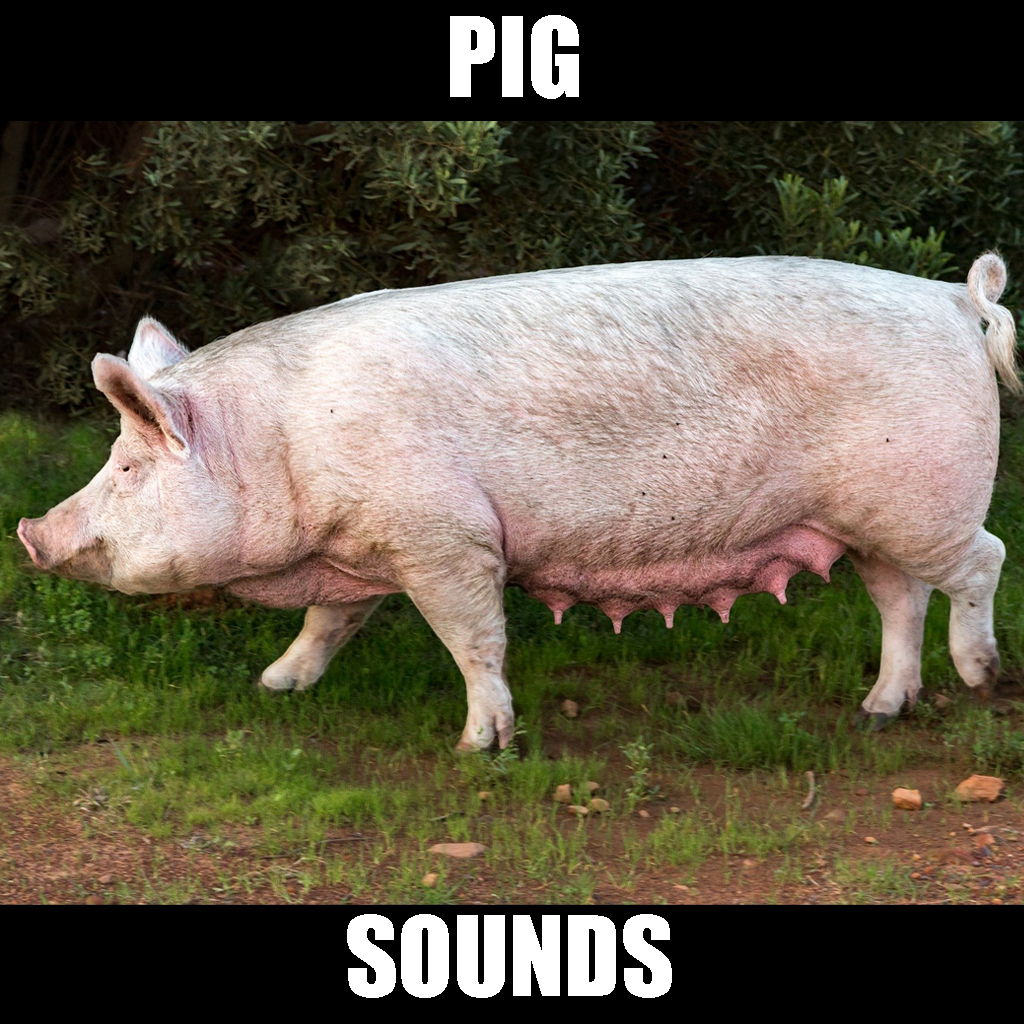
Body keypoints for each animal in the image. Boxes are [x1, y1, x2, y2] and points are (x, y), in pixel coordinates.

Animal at [17, 254, 1020, 748]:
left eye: (127, 468)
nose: (29, 531)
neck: (283, 444)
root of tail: (952, 299)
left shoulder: (445, 537)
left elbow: (475, 639)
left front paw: (481, 746)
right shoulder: (365, 549)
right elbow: (329, 622)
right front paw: (274, 687)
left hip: (924, 501)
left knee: (985, 560)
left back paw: (981, 678)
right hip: (874, 519)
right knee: (898, 595)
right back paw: (879, 711)